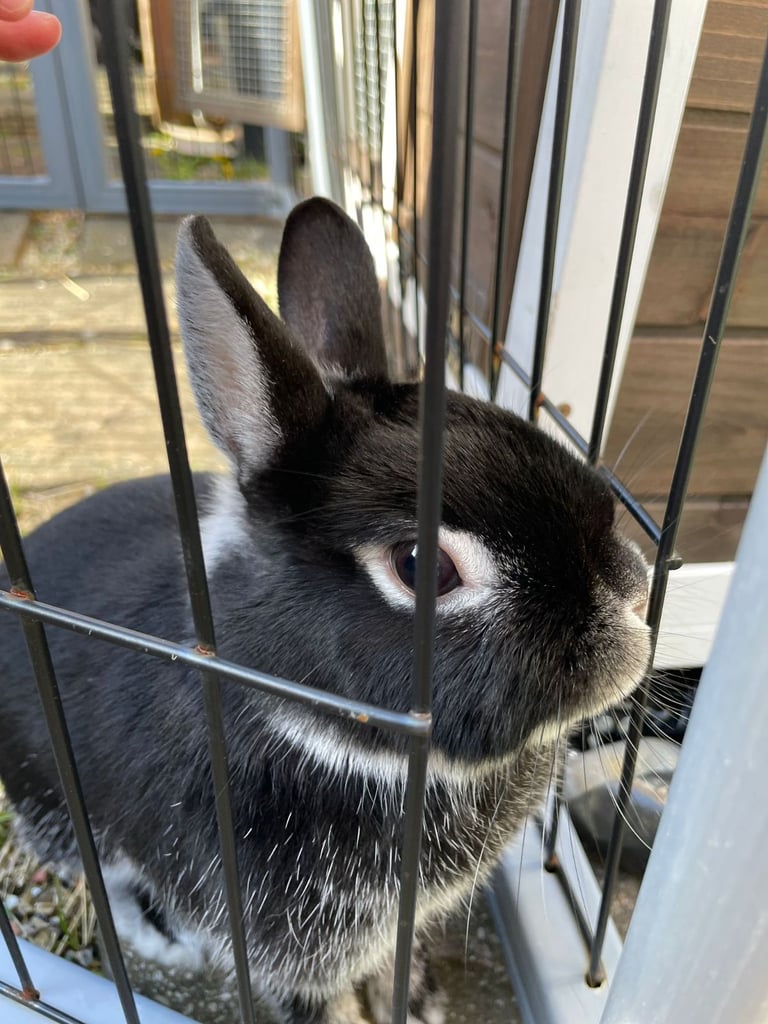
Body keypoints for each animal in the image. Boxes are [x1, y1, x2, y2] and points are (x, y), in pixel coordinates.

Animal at [0, 198, 651, 1024]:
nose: (634, 596)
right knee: (101, 875)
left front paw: (420, 1000)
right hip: (54, 802)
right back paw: (159, 937)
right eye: (421, 566)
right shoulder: (287, 956)